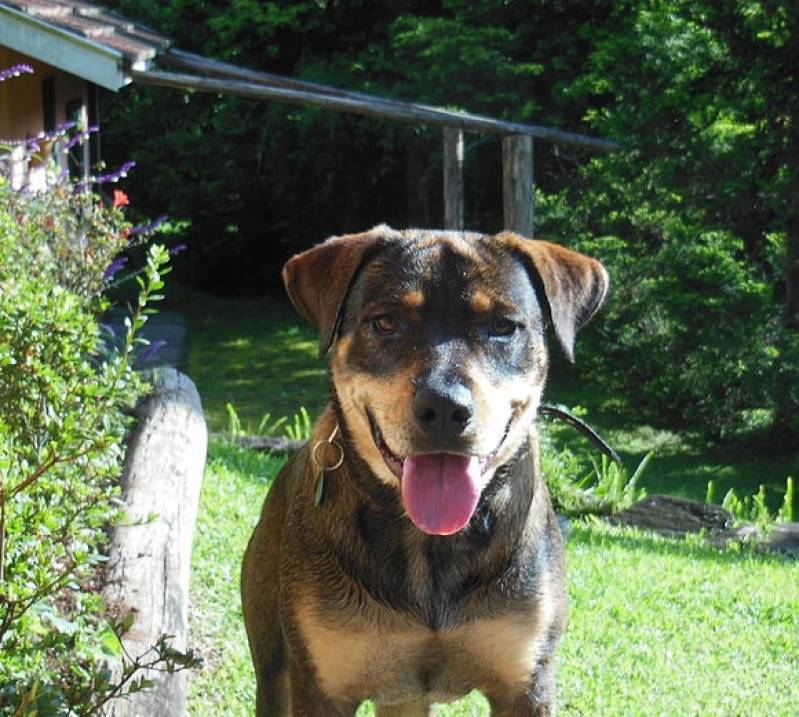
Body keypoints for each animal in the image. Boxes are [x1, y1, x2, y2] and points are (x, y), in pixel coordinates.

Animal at [241, 225, 608, 716]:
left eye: (502, 326)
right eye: (386, 322)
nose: (445, 407)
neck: (428, 542)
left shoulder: (527, 681)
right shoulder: (322, 684)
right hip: (275, 656)